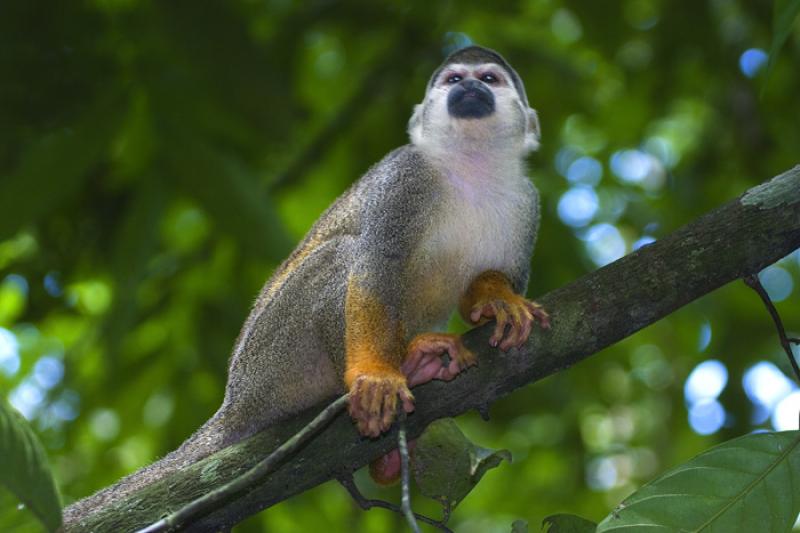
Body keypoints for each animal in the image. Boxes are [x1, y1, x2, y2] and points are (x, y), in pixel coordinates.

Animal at [65, 46, 548, 524]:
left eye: (489, 79)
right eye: (453, 80)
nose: (469, 89)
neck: (470, 166)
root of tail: (235, 398)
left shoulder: (528, 201)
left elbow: (491, 285)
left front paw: (498, 299)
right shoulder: (403, 179)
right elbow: (375, 269)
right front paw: (375, 374)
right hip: (273, 359)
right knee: (340, 256)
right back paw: (402, 368)